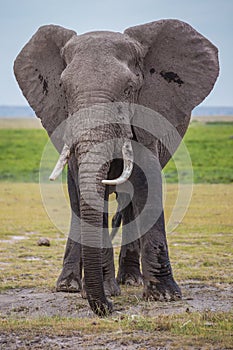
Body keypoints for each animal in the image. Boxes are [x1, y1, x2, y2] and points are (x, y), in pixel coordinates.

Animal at [14, 19, 218, 316]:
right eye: (62, 88)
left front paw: (164, 296)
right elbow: (84, 191)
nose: (109, 309)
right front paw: (106, 292)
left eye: (128, 88)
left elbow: (148, 184)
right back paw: (69, 286)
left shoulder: (148, 115)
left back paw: (130, 280)